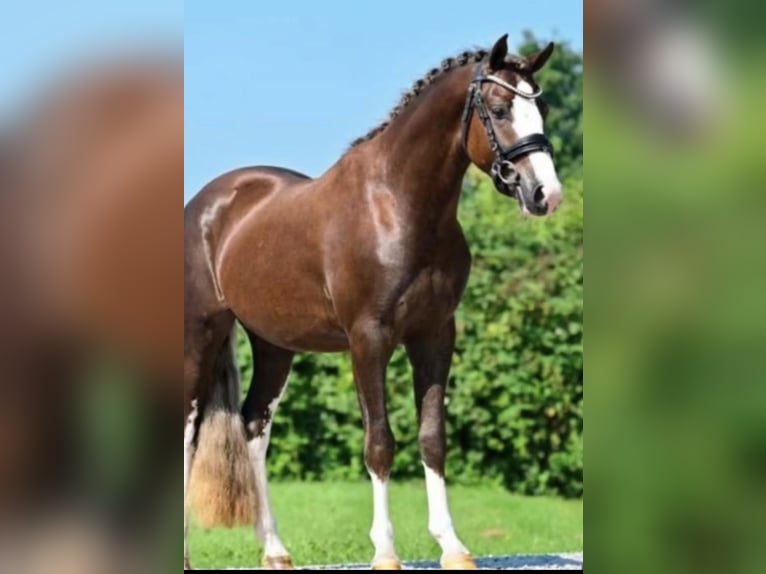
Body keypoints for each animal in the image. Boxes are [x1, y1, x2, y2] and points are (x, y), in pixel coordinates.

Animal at [184, 34, 562, 570]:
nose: (546, 193)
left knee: (254, 425)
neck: (399, 205)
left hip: (274, 345)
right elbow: (379, 442)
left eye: (542, 107)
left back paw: (275, 550)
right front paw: (385, 551)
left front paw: (452, 546)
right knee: (188, 430)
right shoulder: (369, 339)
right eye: (499, 107)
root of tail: (207, 203)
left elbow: (432, 438)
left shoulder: (434, 335)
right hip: (201, 334)